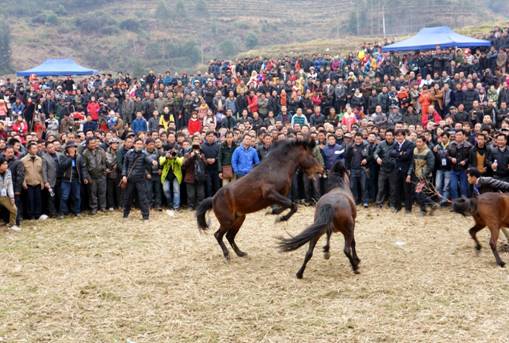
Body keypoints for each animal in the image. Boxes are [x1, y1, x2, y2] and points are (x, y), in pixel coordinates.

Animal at [196, 140, 324, 260]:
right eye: (312, 155)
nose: (321, 170)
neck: (277, 168)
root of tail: (213, 198)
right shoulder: (270, 193)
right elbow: (292, 205)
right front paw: (280, 218)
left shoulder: (279, 196)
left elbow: (289, 205)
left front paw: (274, 213)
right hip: (227, 221)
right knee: (218, 235)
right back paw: (227, 255)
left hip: (239, 219)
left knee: (229, 236)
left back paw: (240, 253)